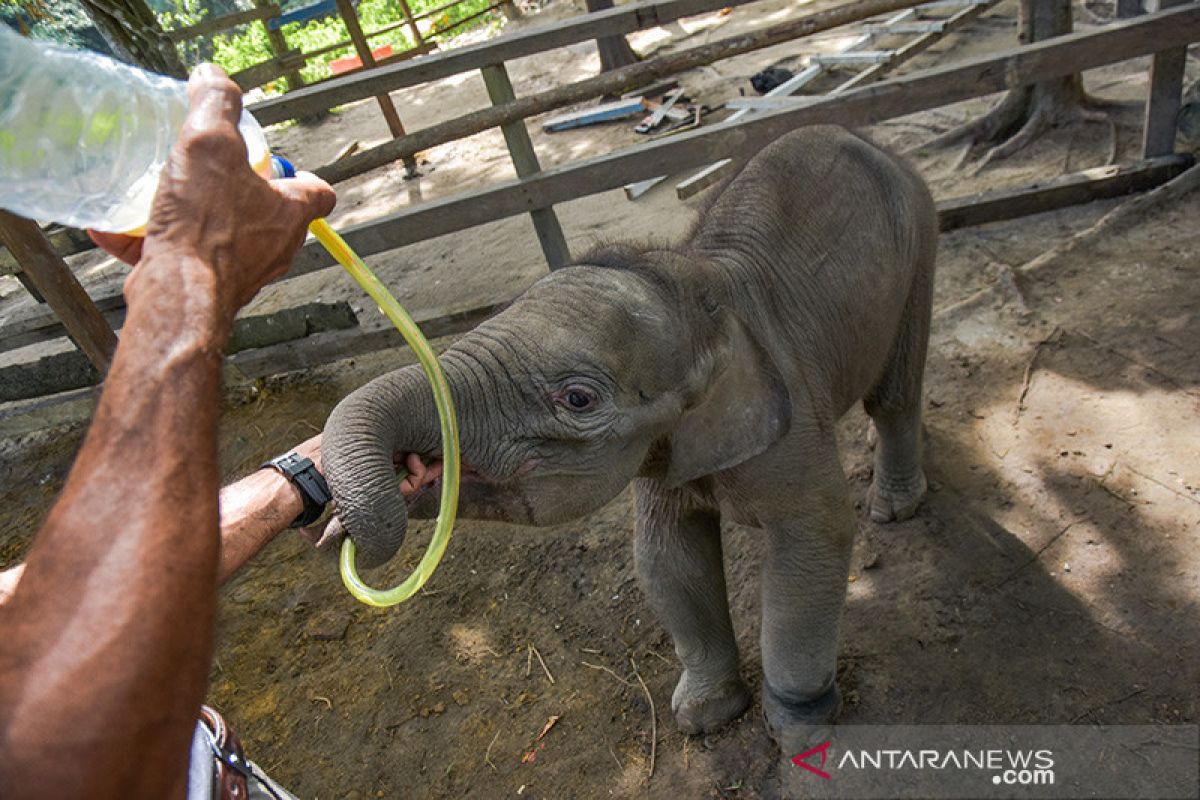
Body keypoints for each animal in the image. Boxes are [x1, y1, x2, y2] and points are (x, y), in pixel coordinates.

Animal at [319, 123, 936, 758]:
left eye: (578, 399)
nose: (333, 523)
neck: (702, 290)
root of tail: (870, 137)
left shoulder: (786, 419)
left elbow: (816, 536)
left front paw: (799, 732)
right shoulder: (663, 452)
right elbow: (666, 556)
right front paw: (704, 717)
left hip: (921, 235)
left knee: (892, 394)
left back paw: (893, 508)